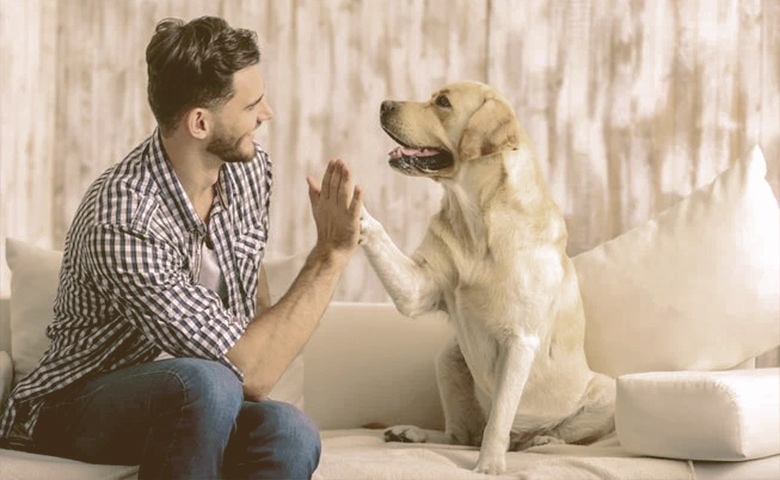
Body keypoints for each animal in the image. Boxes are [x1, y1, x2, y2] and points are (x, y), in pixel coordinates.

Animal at [360, 81, 616, 472]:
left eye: (443, 102)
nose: (384, 104)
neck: (477, 220)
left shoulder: (520, 341)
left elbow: (499, 417)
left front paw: (489, 465)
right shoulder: (417, 288)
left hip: (606, 392)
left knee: (546, 435)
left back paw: (540, 439)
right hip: (448, 358)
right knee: (460, 435)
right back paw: (411, 433)